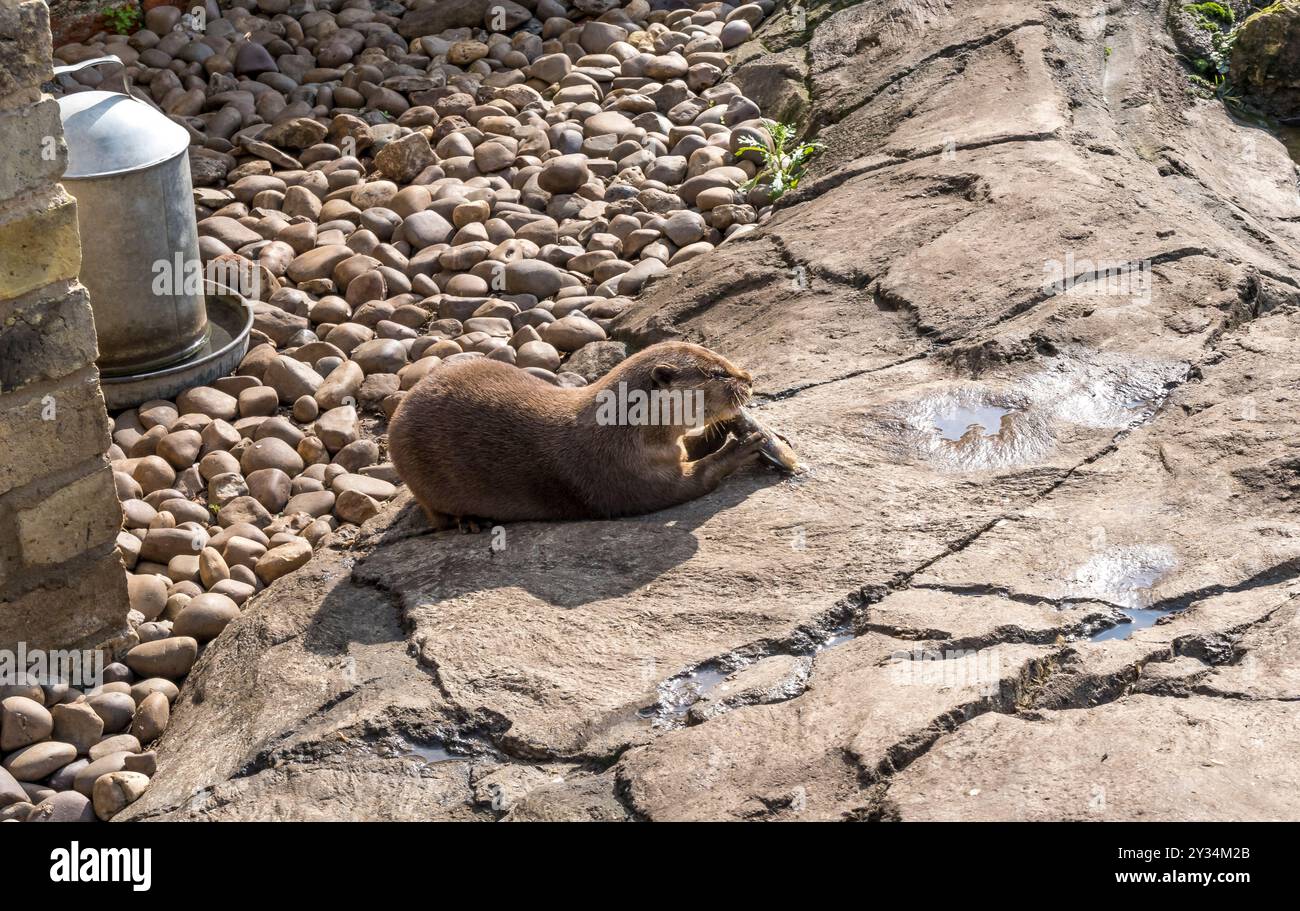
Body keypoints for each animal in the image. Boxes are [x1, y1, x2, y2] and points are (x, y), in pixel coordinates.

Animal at [390, 340, 764, 525]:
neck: (626, 433)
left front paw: (728, 427)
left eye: (722, 359)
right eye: (717, 373)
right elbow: (693, 481)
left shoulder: (672, 450)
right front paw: (743, 446)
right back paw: (467, 522)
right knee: (435, 514)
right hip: (421, 478)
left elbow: (690, 447)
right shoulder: (624, 476)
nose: (748, 378)